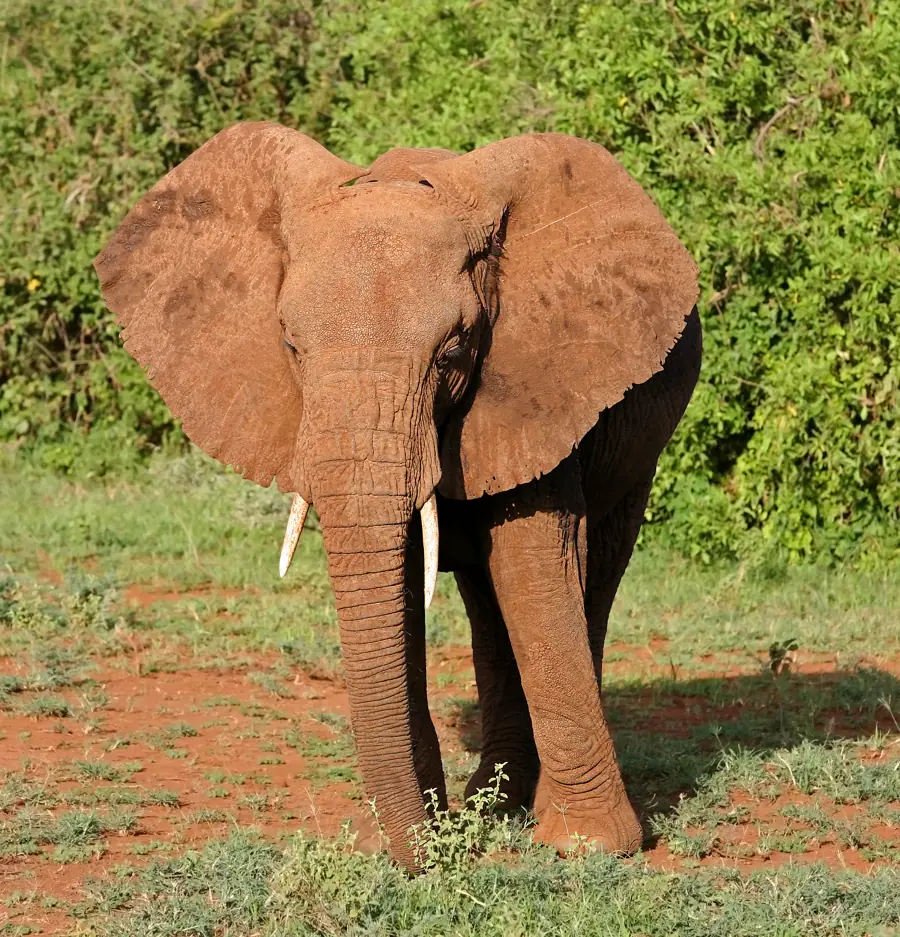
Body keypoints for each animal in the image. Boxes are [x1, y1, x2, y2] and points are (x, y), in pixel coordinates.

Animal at [93, 122, 701, 871]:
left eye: (454, 349)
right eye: (290, 345)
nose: (431, 857)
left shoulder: (540, 380)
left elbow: (533, 566)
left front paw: (587, 849)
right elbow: (405, 578)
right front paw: (418, 831)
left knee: (590, 576)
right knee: (485, 603)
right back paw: (492, 802)